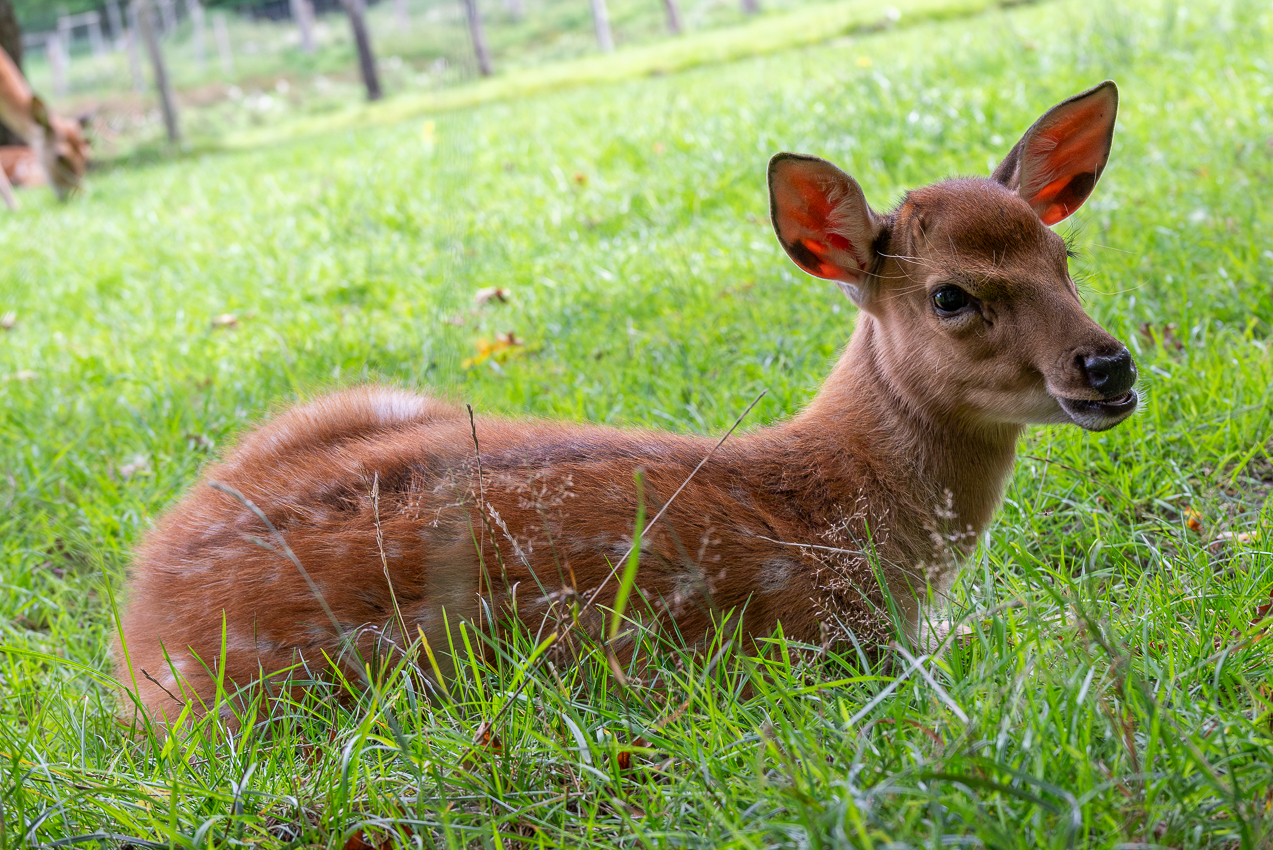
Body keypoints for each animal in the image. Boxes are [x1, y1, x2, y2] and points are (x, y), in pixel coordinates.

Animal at [117, 82, 1135, 727]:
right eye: (950, 296)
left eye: (1064, 256)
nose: (1108, 366)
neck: (846, 508)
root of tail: (136, 626)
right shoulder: (829, 646)